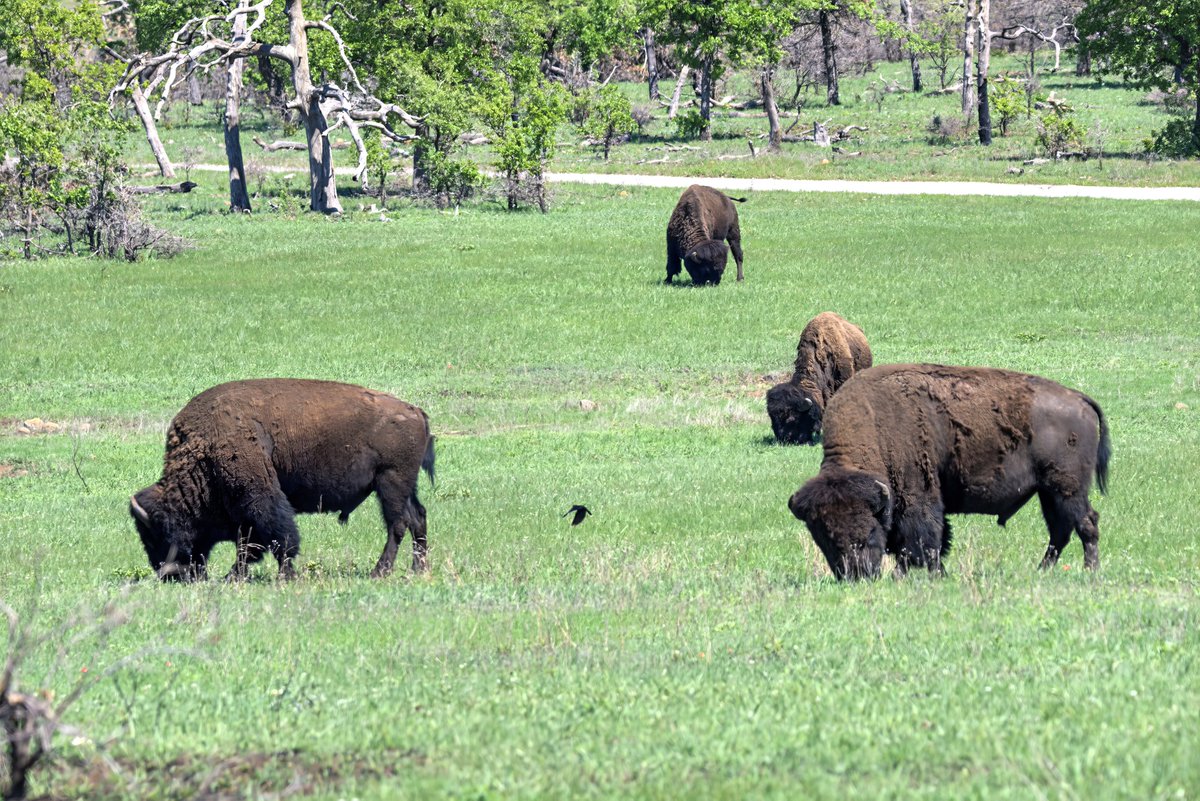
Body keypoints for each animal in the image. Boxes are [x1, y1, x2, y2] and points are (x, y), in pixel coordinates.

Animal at [130, 379, 435, 581]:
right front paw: (236, 576)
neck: (203, 450)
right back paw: (418, 569)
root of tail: (416, 411)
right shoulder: (243, 508)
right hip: (403, 486)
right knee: (417, 517)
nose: (167, 575)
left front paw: (283, 576)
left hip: (390, 482)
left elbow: (276, 538)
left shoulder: (259, 497)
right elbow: (249, 543)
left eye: (157, 535)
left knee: (398, 524)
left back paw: (379, 571)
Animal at [788, 364, 1110, 580]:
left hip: (1067, 488)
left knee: (1086, 523)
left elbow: (923, 540)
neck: (875, 423)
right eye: (824, 539)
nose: (857, 575)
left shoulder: (917, 498)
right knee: (1060, 529)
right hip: (1049, 492)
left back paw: (1089, 571)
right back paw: (1042, 570)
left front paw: (928, 575)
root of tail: (1078, 398)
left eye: (868, 531)